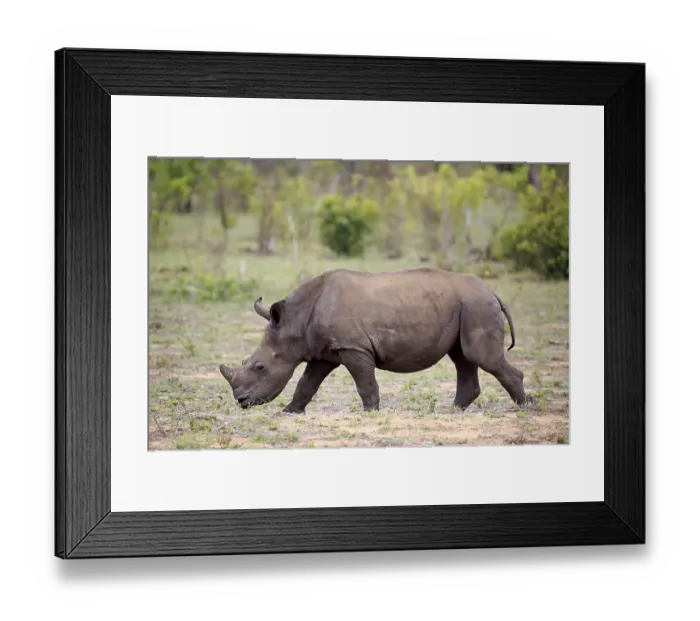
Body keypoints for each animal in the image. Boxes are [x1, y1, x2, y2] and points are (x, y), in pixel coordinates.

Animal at [219, 267, 528, 413]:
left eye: (259, 367)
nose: (241, 401)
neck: (295, 320)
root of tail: (493, 293)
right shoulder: (324, 351)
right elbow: (306, 383)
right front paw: (289, 412)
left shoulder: (353, 347)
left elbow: (364, 383)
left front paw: (370, 413)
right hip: (467, 305)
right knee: (463, 357)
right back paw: (450, 412)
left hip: (477, 305)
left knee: (480, 357)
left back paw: (526, 408)